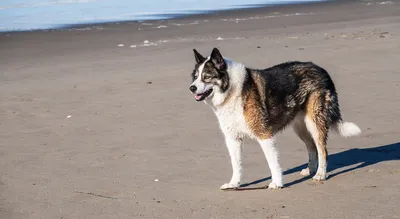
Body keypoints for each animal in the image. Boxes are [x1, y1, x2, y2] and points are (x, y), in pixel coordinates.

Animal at [189, 48, 360, 190]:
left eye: (207, 77)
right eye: (195, 77)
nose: (191, 88)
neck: (231, 90)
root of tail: (322, 71)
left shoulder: (264, 135)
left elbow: (272, 163)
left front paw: (277, 183)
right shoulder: (233, 139)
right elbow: (236, 164)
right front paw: (234, 184)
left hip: (314, 122)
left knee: (322, 149)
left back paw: (320, 174)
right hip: (300, 127)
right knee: (312, 147)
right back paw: (311, 170)